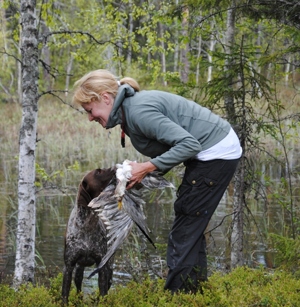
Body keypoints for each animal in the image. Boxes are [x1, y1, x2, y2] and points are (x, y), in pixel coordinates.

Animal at [61, 168, 115, 306]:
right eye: (98, 172)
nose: (115, 168)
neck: (87, 224)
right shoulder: (69, 266)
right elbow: (65, 294)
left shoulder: (102, 266)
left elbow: (103, 292)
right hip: (79, 270)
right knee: (79, 288)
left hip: (109, 267)